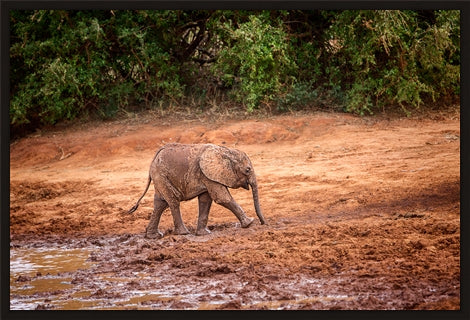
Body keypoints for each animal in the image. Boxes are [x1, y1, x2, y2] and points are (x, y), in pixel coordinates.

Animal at [126, 142, 266, 238]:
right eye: (247, 170)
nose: (263, 223)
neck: (226, 151)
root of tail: (154, 158)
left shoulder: (206, 176)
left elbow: (205, 200)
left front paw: (204, 234)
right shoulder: (207, 175)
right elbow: (222, 198)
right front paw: (249, 223)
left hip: (160, 177)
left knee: (160, 203)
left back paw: (153, 236)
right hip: (161, 175)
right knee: (173, 201)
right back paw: (183, 233)